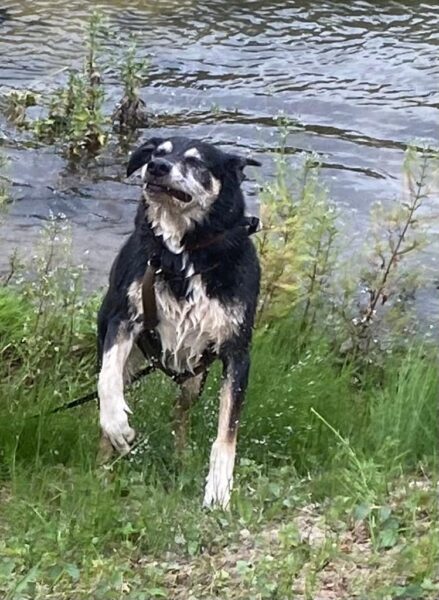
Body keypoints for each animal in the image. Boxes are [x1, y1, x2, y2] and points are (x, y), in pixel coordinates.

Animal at [97, 136, 261, 509]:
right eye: (158, 152)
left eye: (197, 162)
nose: (157, 167)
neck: (183, 255)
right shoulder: (123, 319)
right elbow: (106, 382)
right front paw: (117, 425)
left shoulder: (238, 353)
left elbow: (227, 431)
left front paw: (219, 488)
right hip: (136, 359)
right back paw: (102, 465)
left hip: (194, 377)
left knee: (180, 413)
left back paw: (181, 455)